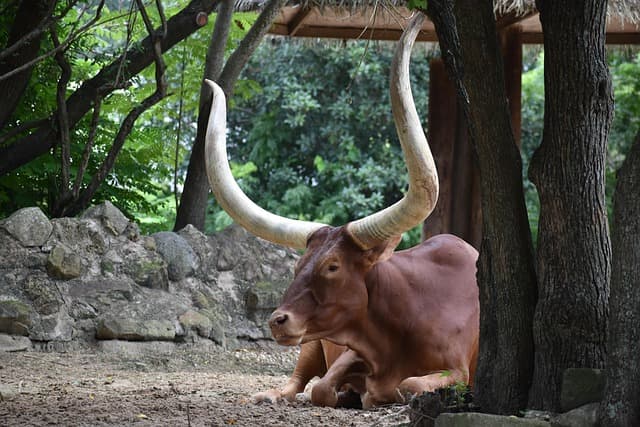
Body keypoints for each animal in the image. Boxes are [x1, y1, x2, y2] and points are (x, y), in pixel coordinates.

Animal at [202, 12, 479, 409]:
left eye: (332, 266)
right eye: (297, 266)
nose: (278, 320)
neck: (408, 316)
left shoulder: (459, 371)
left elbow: (408, 384)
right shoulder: (348, 350)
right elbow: (322, 388)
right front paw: (351, 391)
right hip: (311, 343)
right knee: (296, 381)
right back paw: (270, 394)